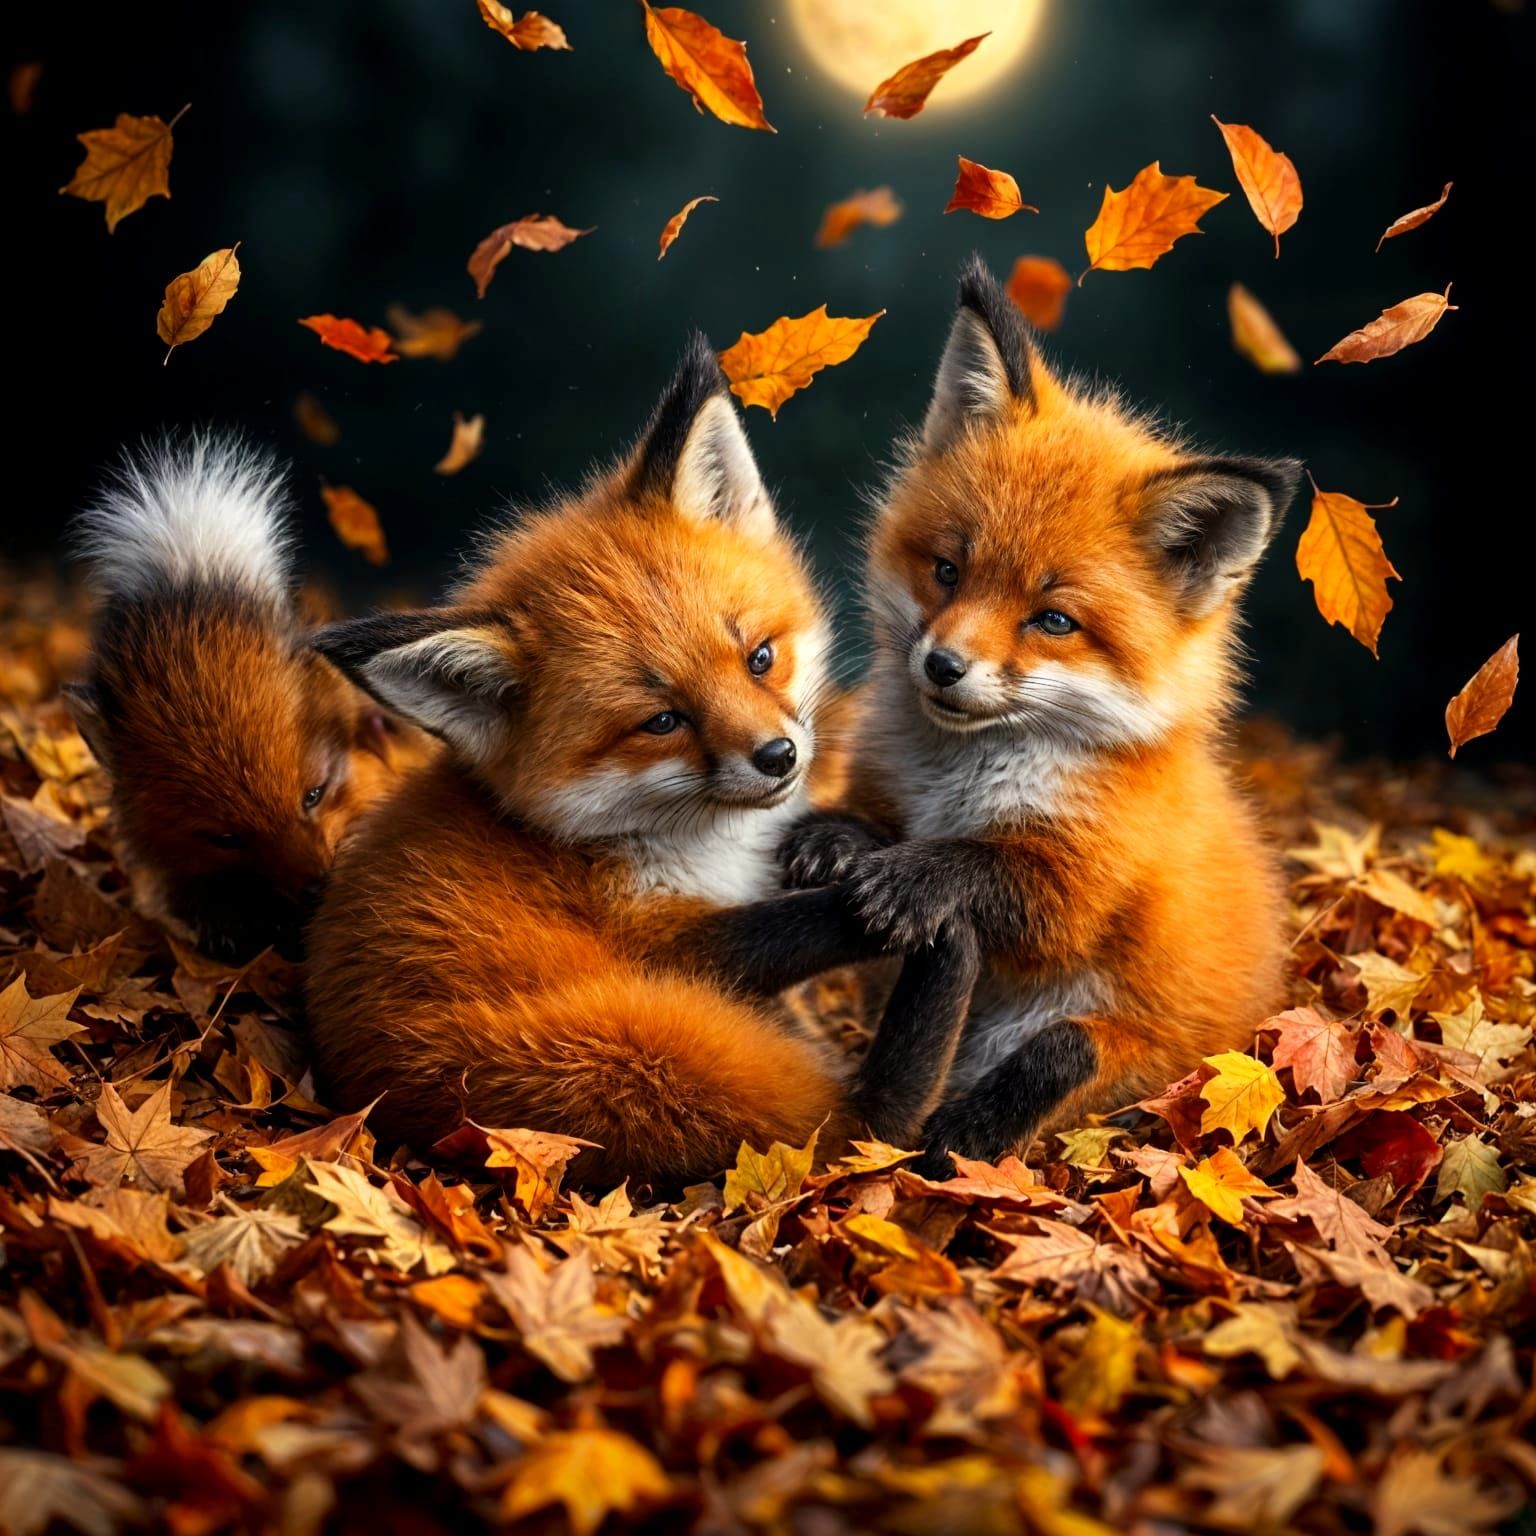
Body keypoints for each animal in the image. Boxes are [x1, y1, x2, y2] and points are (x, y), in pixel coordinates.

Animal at [304, 336, 978, 1184]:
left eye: (759, 658)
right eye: (663, 721)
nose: (780, 756)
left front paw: (846, 851)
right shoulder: (660, 941)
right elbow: (789, 925)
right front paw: (885, 902)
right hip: (647, 1050)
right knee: (869, 1121)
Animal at [782, 257, 1301, 1175]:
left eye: (1053, 621)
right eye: (948, 571)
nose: (942, 666)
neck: (964, 778)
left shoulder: (1081, 880)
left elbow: (983, 867)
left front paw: (912, 878)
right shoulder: (890, 794)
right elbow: (874, 825)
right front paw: (835, 841)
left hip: (1150, 1053)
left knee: (1066, 1050)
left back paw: (964, 1134)